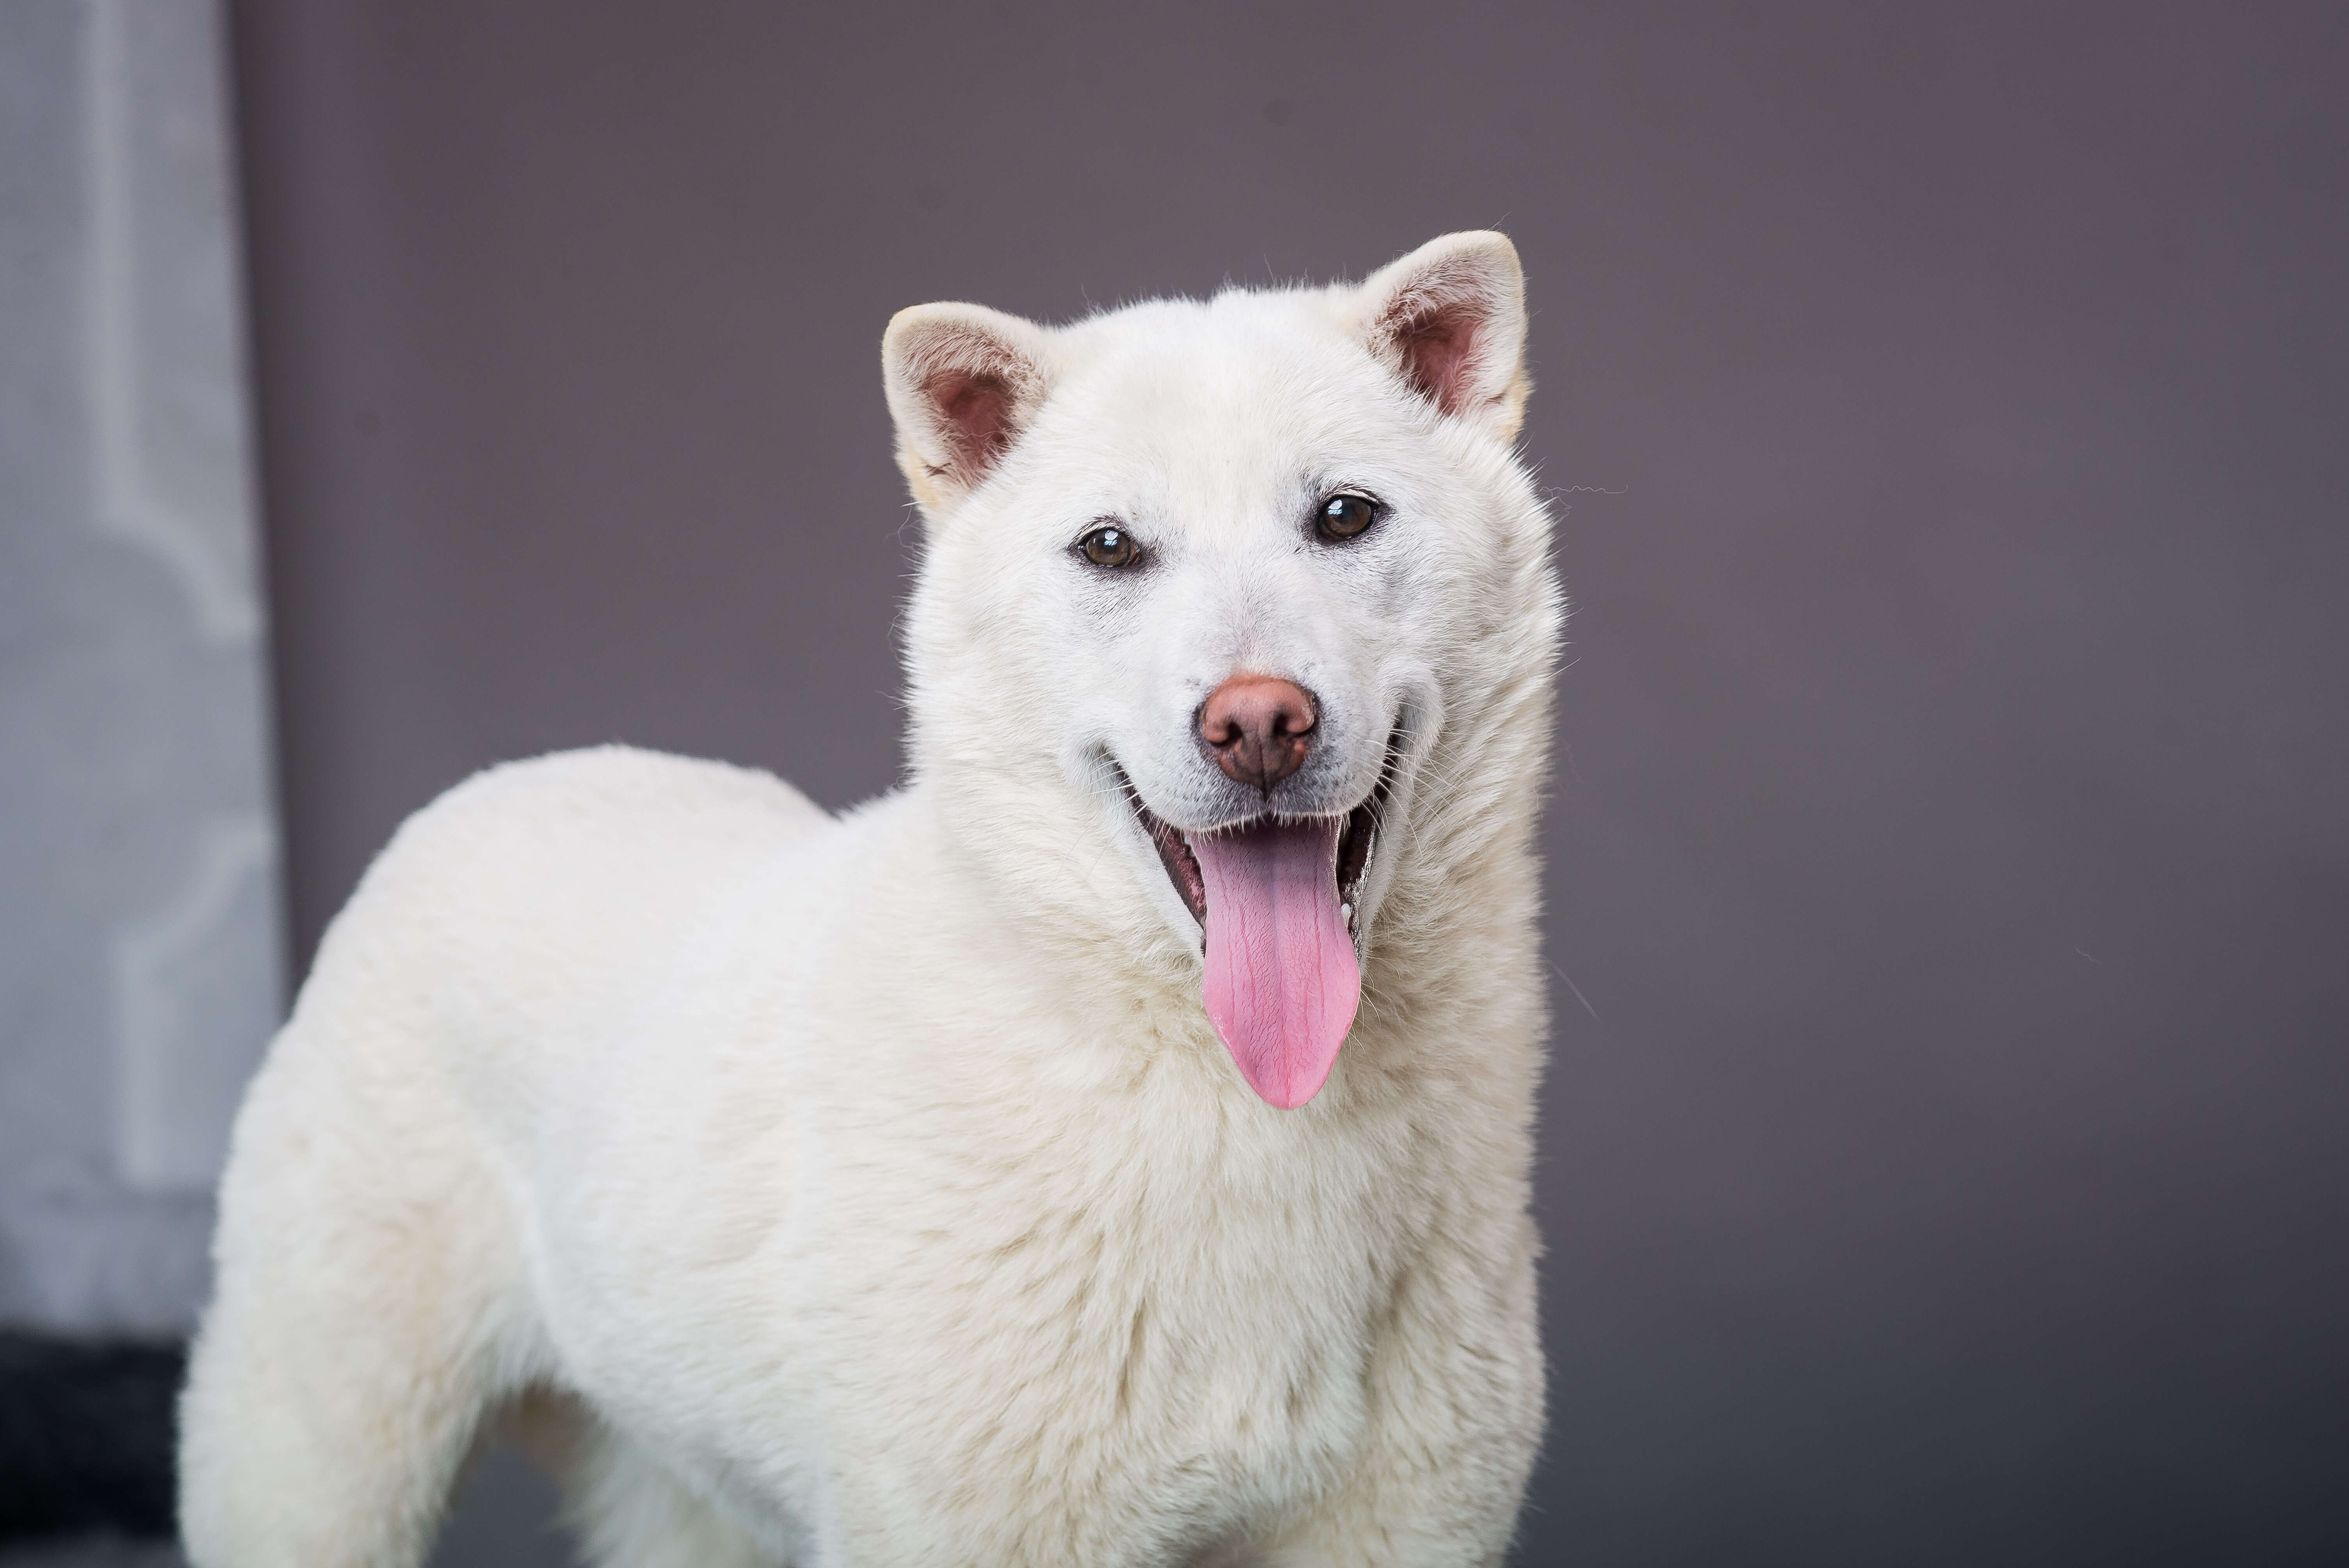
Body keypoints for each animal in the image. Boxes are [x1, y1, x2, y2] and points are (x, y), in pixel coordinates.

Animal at [178, 232, 1559, 1568]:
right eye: (1111, 547)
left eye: (1345, 516)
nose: (1258, 724)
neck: (1234, 1104)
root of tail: (502, 783)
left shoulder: (1404, 1525)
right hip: (318, 1455)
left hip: (678, 1493)